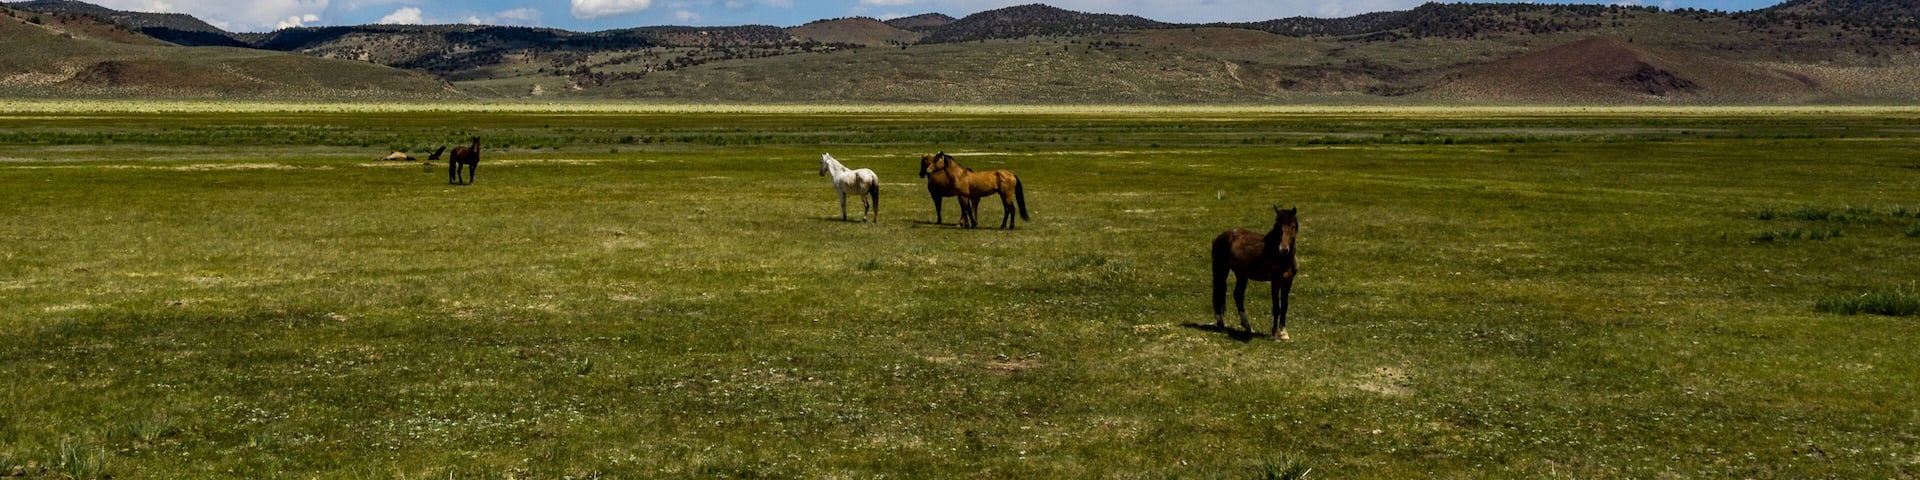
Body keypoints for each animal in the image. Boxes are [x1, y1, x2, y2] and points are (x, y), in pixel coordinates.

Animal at [1211, 206, 1300, 341]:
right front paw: (1275, 333)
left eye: (1293, 226)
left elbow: (1284, 306)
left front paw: (1284, 333)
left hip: (1241, 275)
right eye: (1278, 227)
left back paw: (1248, 327)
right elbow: (1276, 307)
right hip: (1221, 270)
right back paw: (1221, 325)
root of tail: (1220, 237)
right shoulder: (1275, 281)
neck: (1282, 258)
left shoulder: (1288, 281)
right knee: (1217, 293)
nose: (1283, 249)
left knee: (1238, 295)